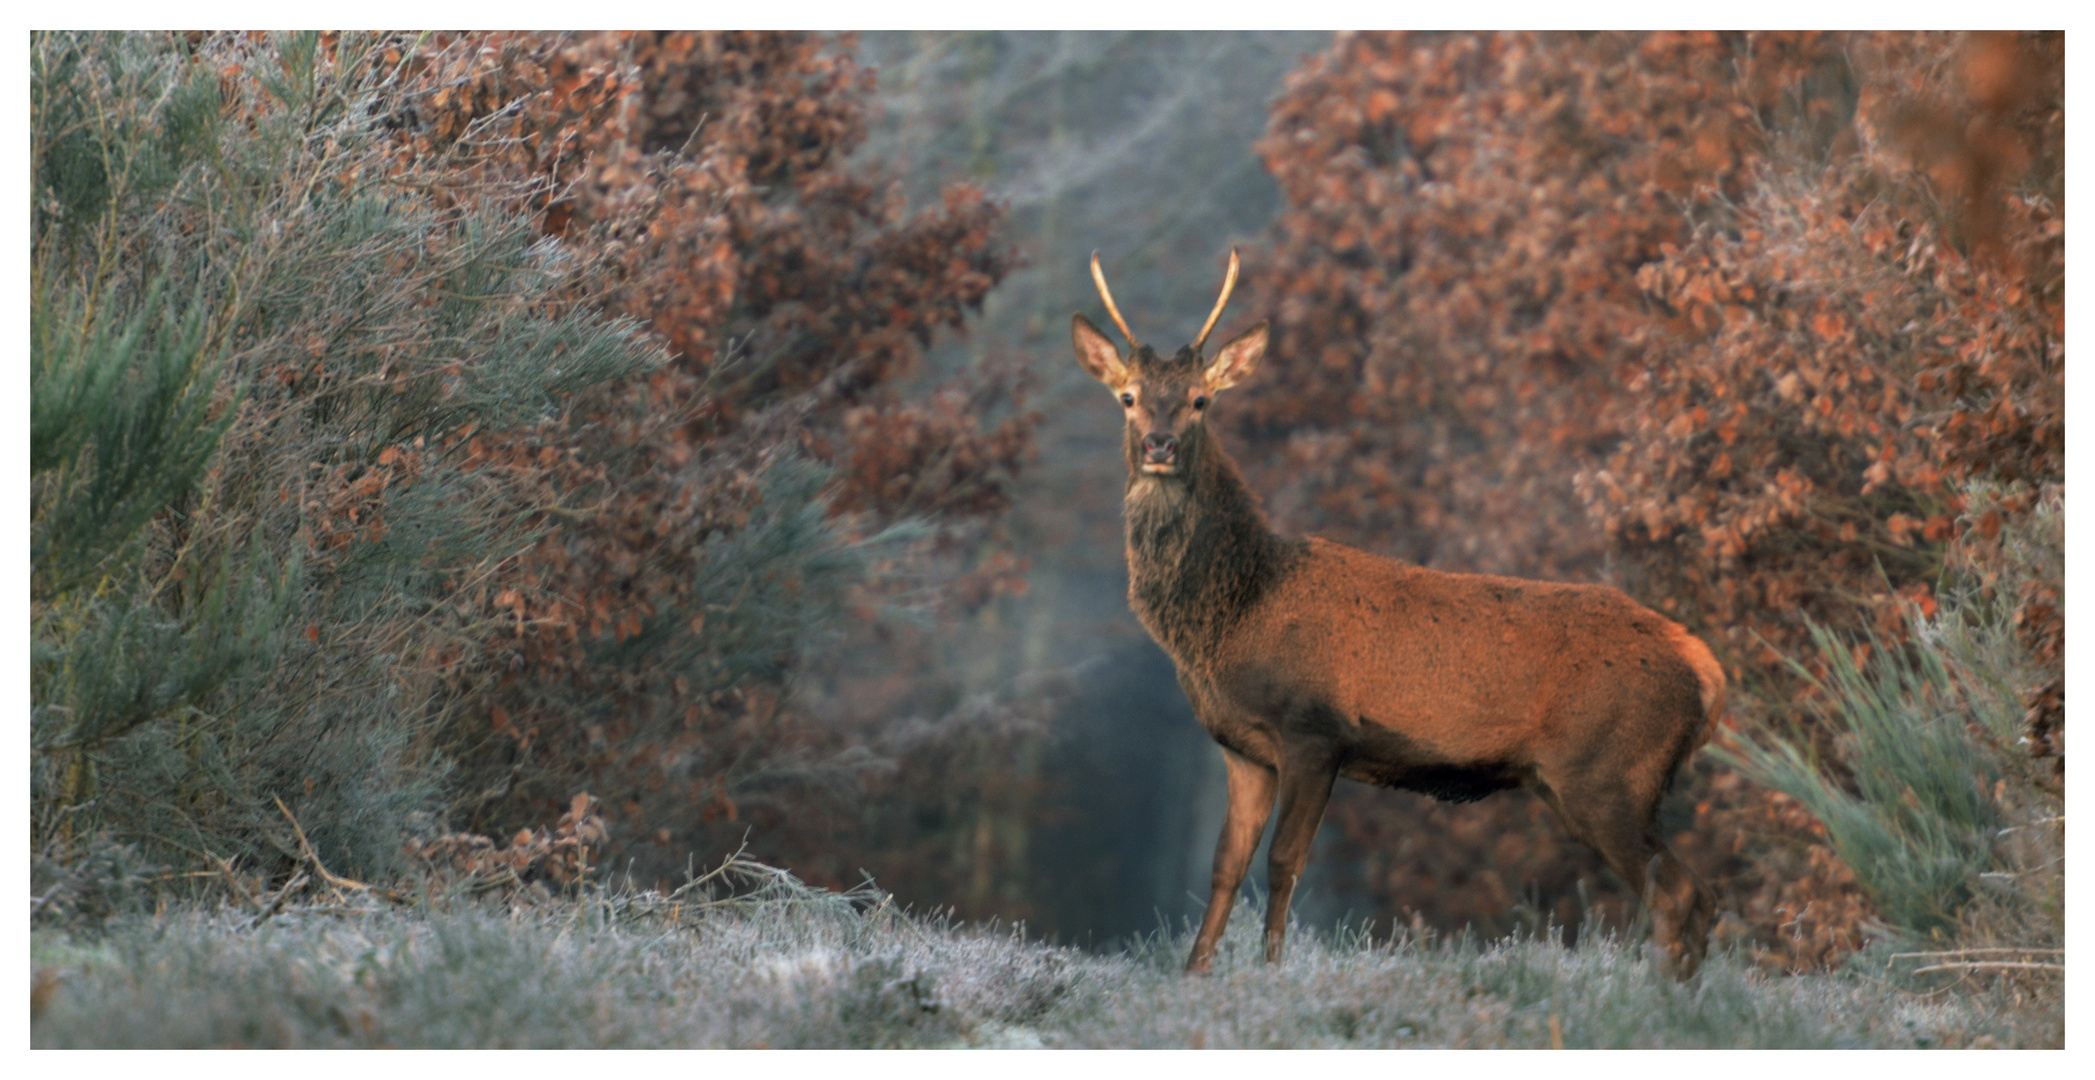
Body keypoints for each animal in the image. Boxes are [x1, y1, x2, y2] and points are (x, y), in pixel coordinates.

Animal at [1072, 251, 1726, 979]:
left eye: (1199, 400)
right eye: (1128, 398)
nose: (1158, 444)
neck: (1237, 612)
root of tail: (1705, 668)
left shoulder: (1315, 729)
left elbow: (1282, 864)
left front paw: (1271, 974)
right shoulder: (1244, 749)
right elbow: (1223, 869)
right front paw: (1194, 977)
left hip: (1609, 772)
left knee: (1677, 895)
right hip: (1594, 782)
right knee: (1695, 897)